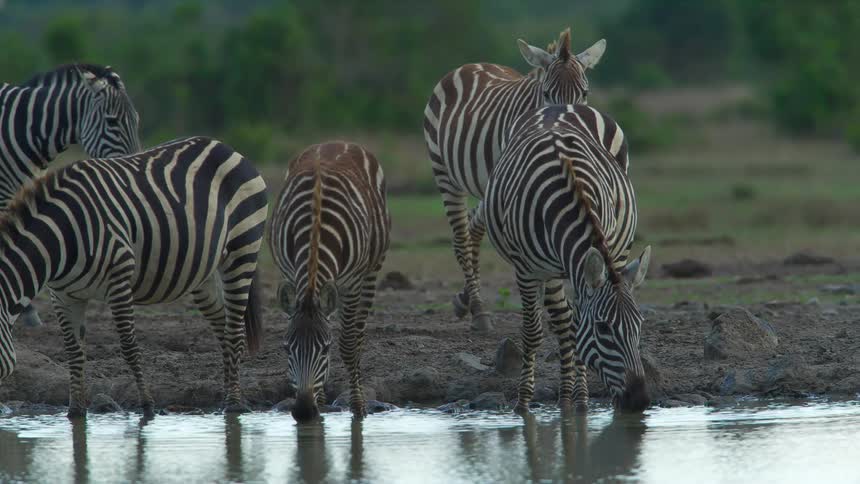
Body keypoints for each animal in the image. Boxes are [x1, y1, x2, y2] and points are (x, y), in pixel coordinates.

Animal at [0, 136, 267, 418]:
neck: (62, 238)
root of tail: (222, 145)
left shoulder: (118, 278)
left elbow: (129, 346)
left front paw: (147, 406)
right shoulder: (62, 294)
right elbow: (73, 351)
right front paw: (75, 411)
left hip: (243, 248)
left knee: (234, 329)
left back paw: (234, 403)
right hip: (203, 271)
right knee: (222, 327)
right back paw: (229, 395)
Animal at [270, 142, 390, 423]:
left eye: (325, 349)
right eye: (286, 349)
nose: (304, 412)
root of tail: (336, 142)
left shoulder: (353, 282)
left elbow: (348, 344)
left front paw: (358, 408)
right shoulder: (290, 274)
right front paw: (321, 405)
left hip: (371, 271)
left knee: (357, 334)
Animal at [423, 28, 610, 332]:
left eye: (584, 93)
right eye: (546, 93)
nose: (568, 123)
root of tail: (471, 65)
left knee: (473, 228)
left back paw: (465, 300)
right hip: (445, 172)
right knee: (462, 237)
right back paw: (479, 310)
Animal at [477, 104, 651, 413]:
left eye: (640, 325)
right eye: (603, 328)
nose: (640, 400)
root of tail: (559, 105)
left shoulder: (593, 257)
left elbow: (577, 324)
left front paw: (582, 401)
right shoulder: (527, 270)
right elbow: (534, 332)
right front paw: (523, 403)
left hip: (615, 252)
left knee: (568, 321)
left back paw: (570, 396)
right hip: (550, 270)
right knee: (561, 321)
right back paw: (564, 395)